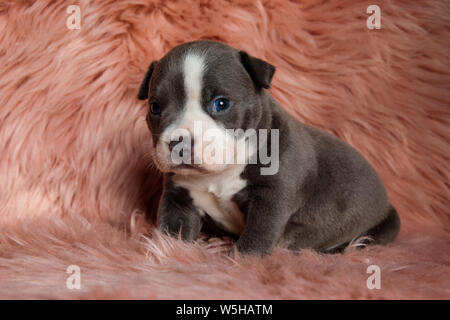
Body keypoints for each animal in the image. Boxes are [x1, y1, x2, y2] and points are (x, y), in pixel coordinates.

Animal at [137, 40, 400, 255]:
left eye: (221, 104)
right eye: (155, 107)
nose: (178, 142)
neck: (221, 172)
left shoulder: (271, 199)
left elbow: (257, 238)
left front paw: (239, 261)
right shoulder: (178, 198)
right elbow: (172, 234)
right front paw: (167, 252)